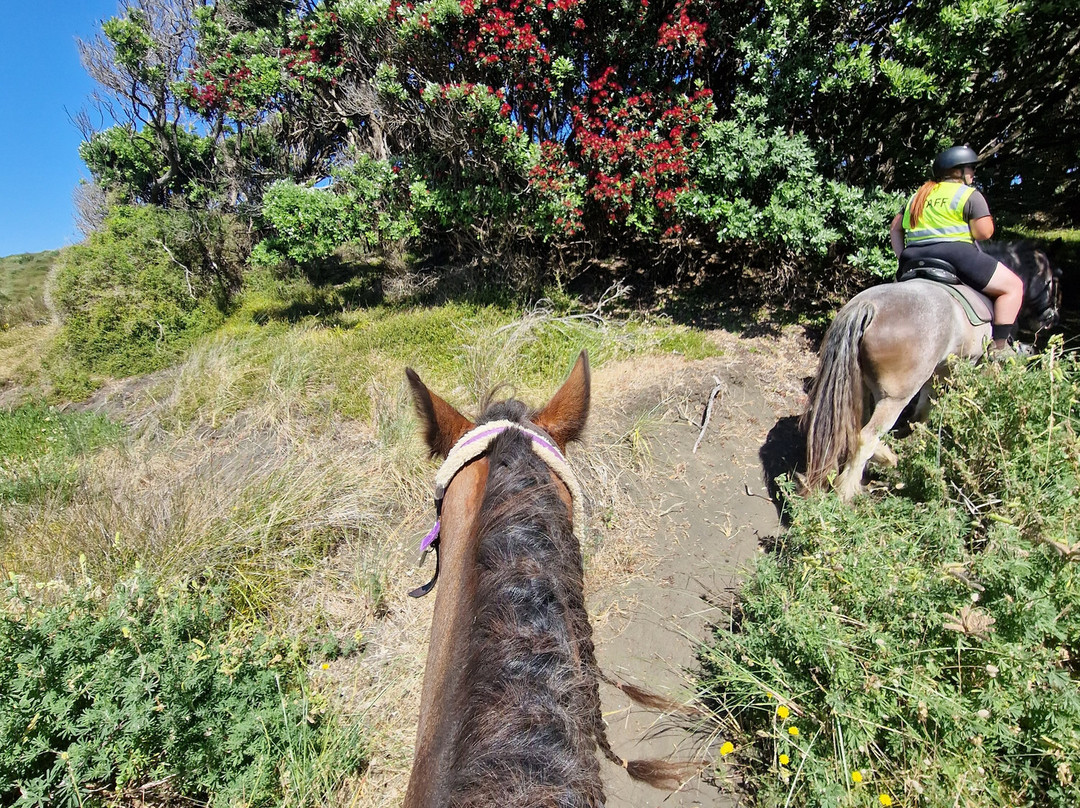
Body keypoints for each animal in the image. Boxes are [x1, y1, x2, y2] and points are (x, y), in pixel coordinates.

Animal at [802, 241, 1061, 502]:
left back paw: (884, 458)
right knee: (866, 436)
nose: (1051, 318)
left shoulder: (937, 370)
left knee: (858, 429)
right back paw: (848, 491)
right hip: (895, 398)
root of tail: (868, 307)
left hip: (863, 386)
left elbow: (924, 408)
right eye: (1051, 282)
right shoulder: (966, 365)